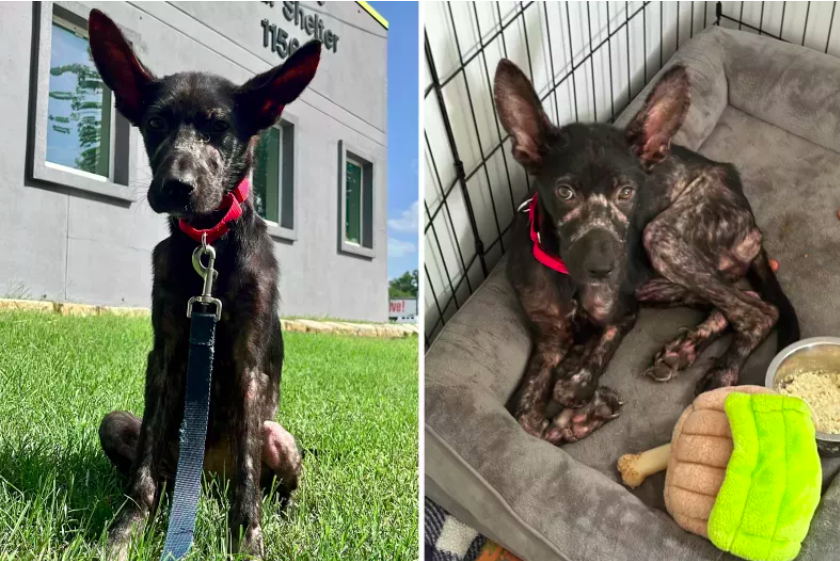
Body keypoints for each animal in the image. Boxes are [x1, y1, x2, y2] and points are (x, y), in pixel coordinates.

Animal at [87, 9, 318, 560]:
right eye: (155, 124)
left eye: (219, 129)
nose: (176, 187)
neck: (211, 245)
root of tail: (205, 477)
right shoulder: (167, 352)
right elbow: (143, 472)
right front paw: (125, 530)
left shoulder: (248, 365)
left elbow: (249, 481)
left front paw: (248, 541)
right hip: (118, 421)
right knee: (156, 467)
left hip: (280, 436)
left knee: (280, 483)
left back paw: (291, 516)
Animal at [496, 55, 796, 442]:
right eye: (565, 192)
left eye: (627, 192)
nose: (603, 269)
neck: (570, 280)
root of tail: (749, 215)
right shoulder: (550, 340)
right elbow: (524, 418)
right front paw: (578, 418)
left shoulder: (624, 313)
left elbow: (579, 375)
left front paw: (581, 395)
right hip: (661, 281)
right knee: (744, 302)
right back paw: (682, 350)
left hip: (660, 238)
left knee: (759, 312)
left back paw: (721, 373)